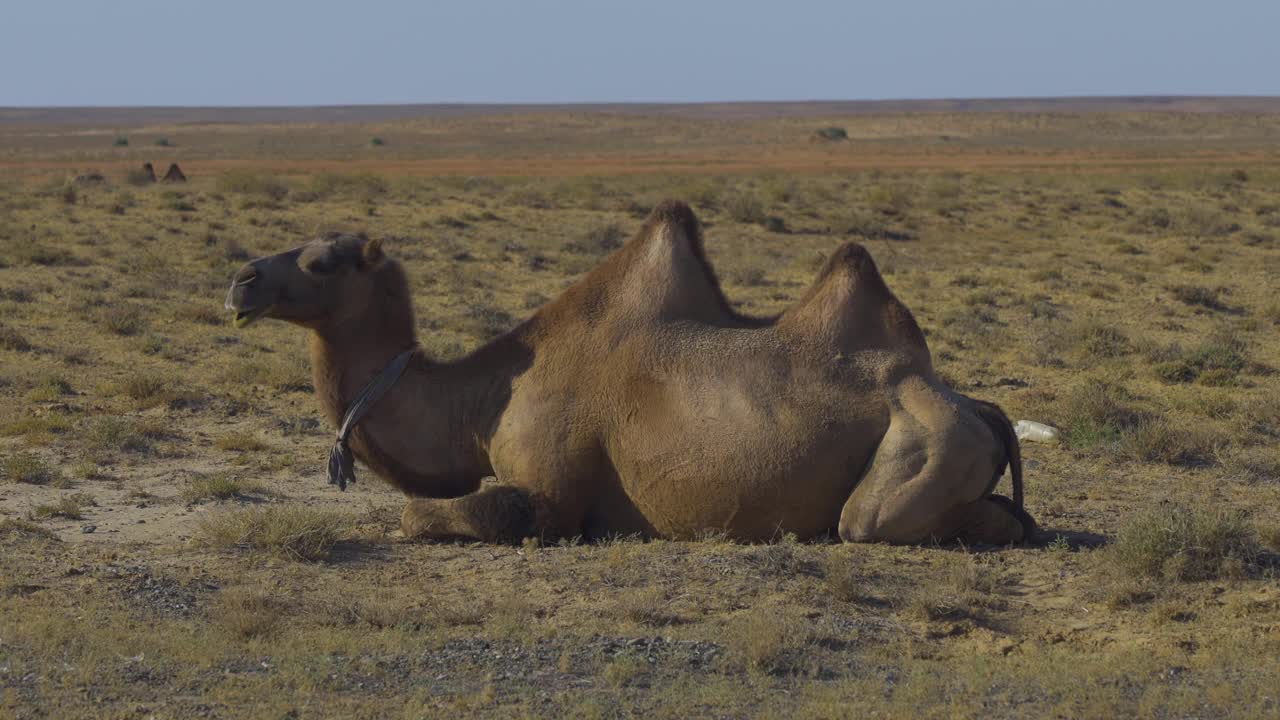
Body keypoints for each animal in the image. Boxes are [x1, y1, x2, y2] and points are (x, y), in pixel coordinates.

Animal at [225, 198, 1034, 540]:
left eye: (321, 262)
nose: (242, 281)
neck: (479, 404)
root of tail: (978, 405)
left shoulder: (552, 492)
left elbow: (426, 512)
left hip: (924, 442)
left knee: (868, 522)